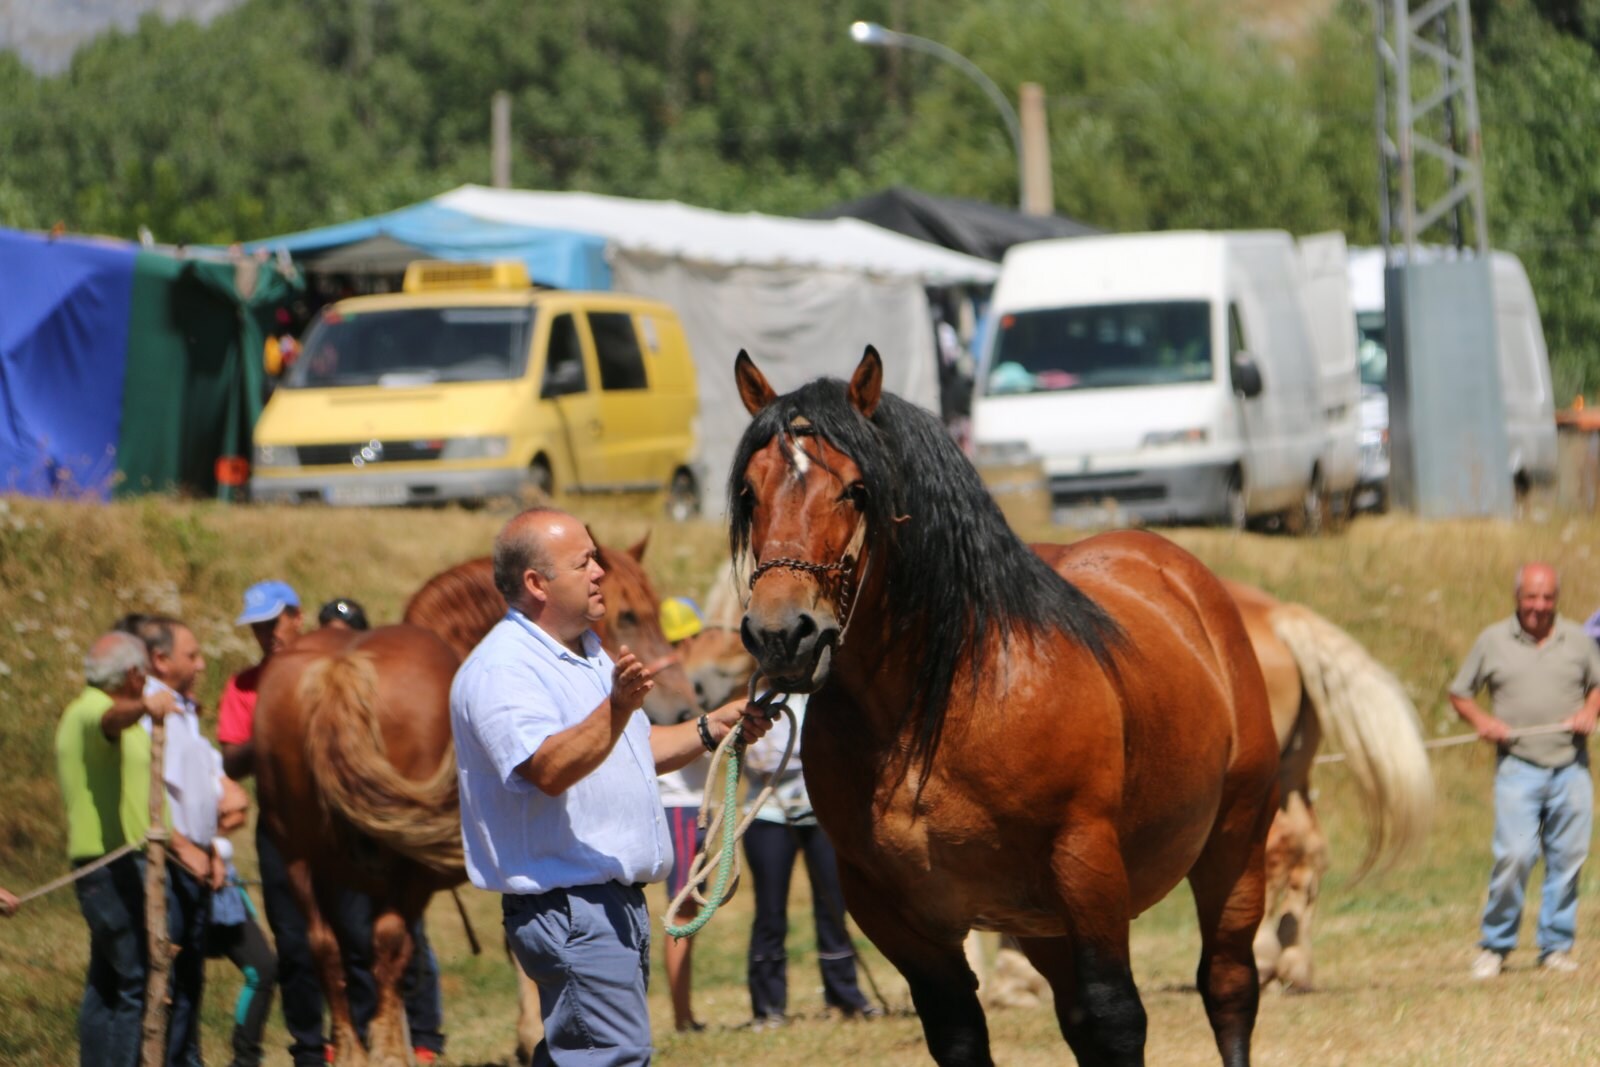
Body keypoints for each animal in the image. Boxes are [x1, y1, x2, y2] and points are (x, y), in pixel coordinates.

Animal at [732, 350, 1273, 1067]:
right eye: (749, 493)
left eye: (855, 490)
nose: (781, 634)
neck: (932, 712)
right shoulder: (894, 914)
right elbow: (961, 1031)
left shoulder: (1087, 868)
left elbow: (1119, 1017)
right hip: (1041, 924)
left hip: (1234, 844)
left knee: (1227, 985)